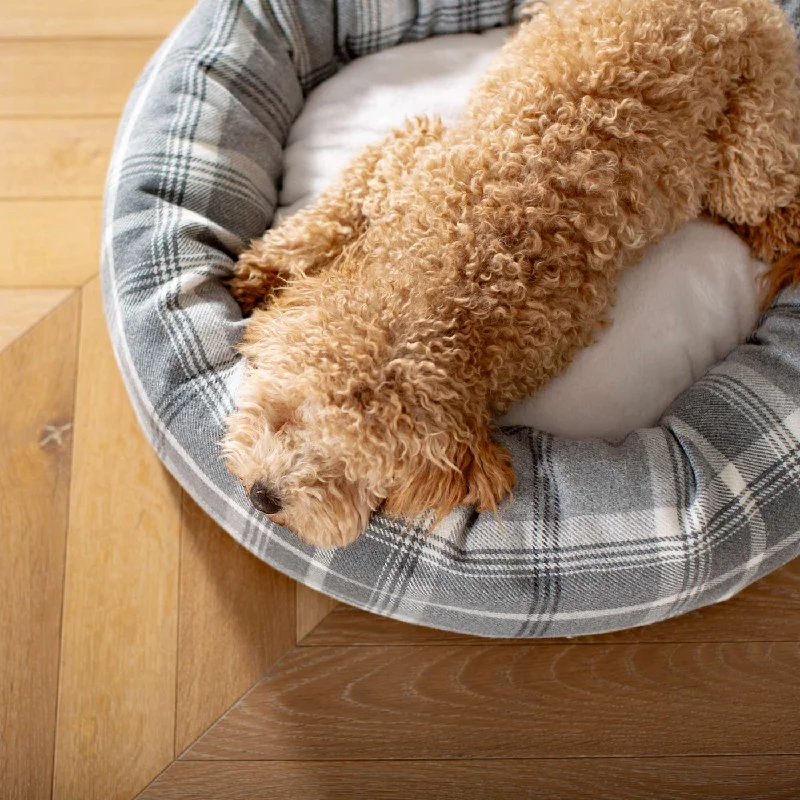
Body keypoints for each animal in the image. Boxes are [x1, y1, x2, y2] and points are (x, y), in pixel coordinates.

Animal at [222, 0, 800, 548]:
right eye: (291, 414)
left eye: (354, 471)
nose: (263, 498)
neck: (451, 279)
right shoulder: (407, 154)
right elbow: (331, 216)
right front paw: (266, 271)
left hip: (749, 150)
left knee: (774, 207)